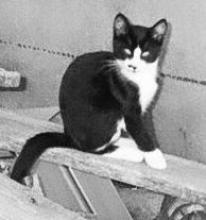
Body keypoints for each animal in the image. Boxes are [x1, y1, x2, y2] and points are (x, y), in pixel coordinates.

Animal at [10, 12, 167, 183]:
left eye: (145, 53)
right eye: (126, 51)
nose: (133, 66)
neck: (139, 78)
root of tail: (69, 136)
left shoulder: (145, 109)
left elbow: (147, 128)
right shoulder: (129, 106)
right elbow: (140, 131)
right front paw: (156, 158)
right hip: (108, 112)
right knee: (90, 149)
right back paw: (134, 153)